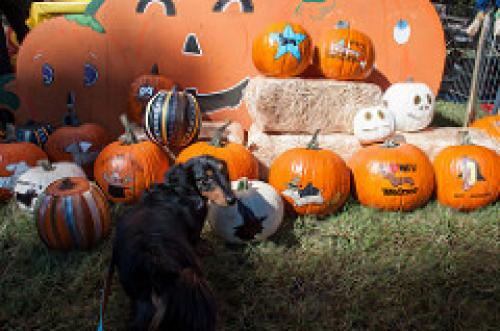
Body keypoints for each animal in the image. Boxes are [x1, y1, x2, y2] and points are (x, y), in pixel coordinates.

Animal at [112, 156, 236, 331]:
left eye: (224, 171)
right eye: (204, 179)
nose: (232, 200)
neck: (180, 190)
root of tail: (152, 266)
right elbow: (197, 239)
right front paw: (204, 247)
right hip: (192, 276)